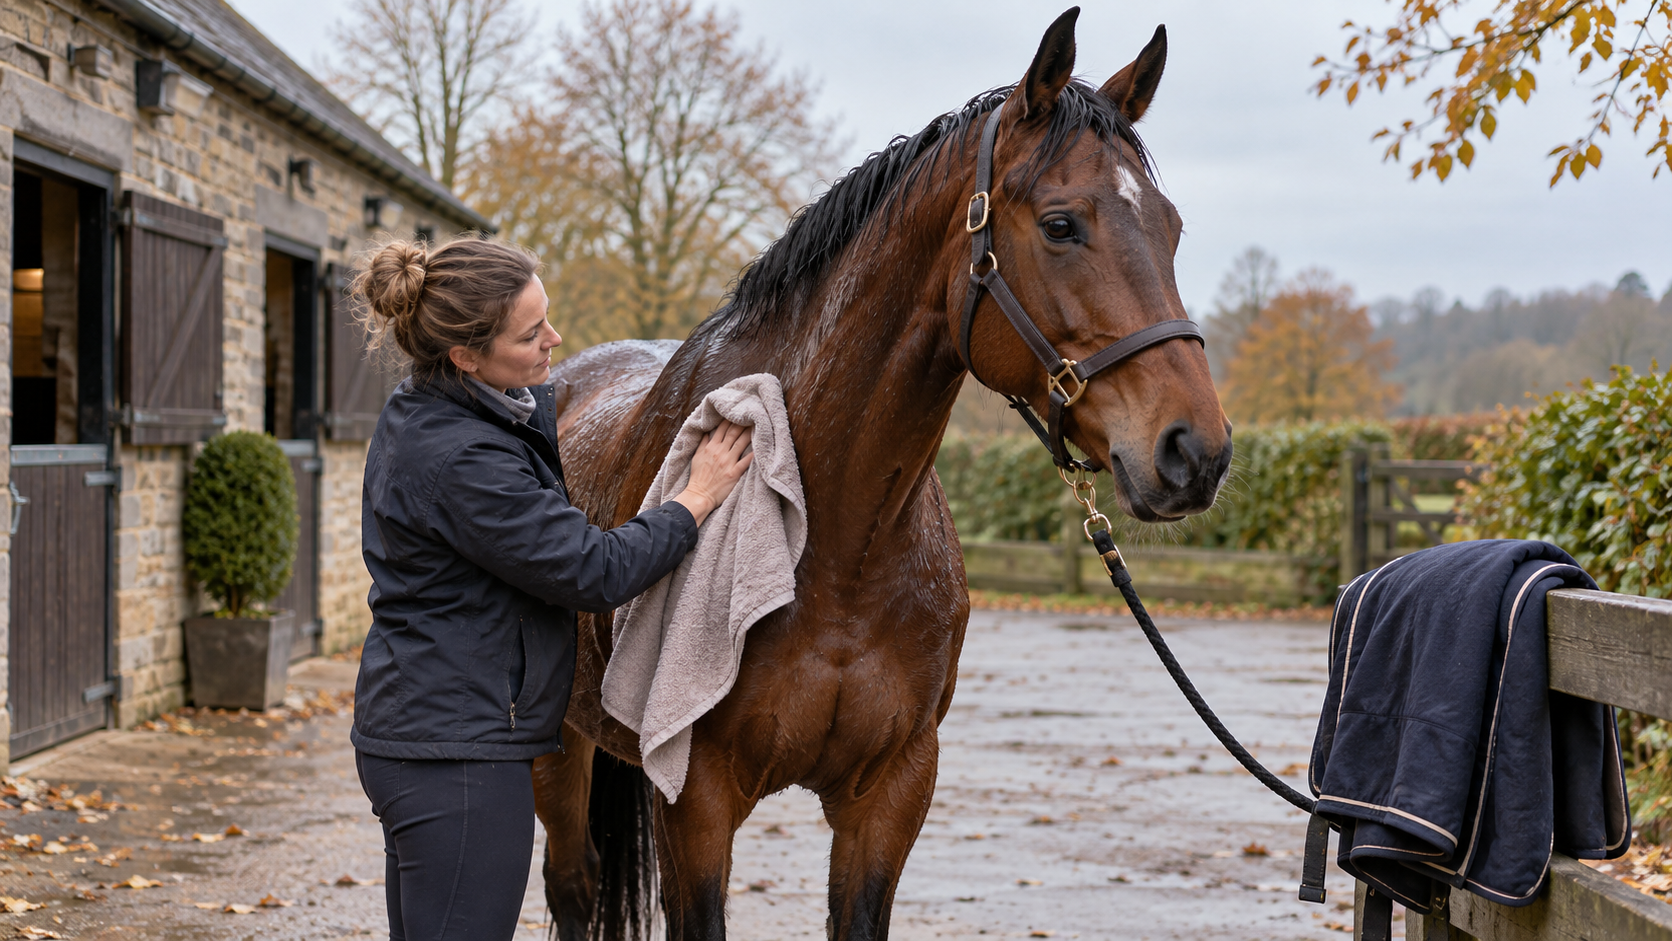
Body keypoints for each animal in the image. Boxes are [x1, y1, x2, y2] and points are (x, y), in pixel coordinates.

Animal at [534, 9, 1232, 939]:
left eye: (1172, 228)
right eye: (1060, 224)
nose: (1196, 450)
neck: (841, 541)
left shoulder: (893, 793)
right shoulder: (695, 798)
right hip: (559, 753)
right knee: (572, 886)